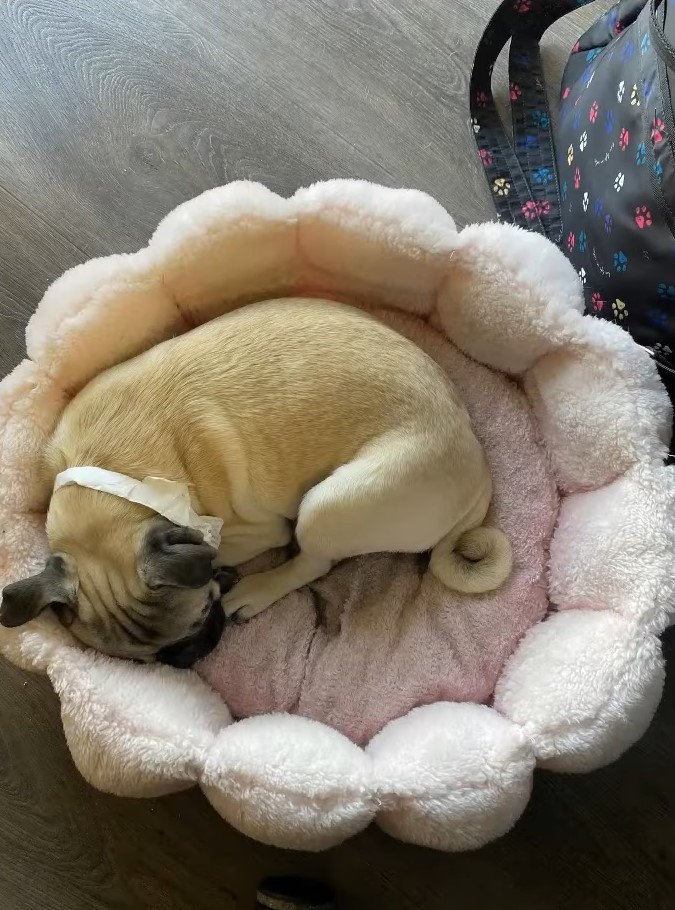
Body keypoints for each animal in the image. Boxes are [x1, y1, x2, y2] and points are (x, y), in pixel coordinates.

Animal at [0, 296, 510, 668]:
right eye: (143, 662)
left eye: (201, 615)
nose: (185, 659)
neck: (115, 477)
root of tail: (477, 465)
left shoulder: (251, 532)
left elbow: (224, 549)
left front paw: (227, 575)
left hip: (327, 506)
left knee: (313, 563)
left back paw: (258, 589)